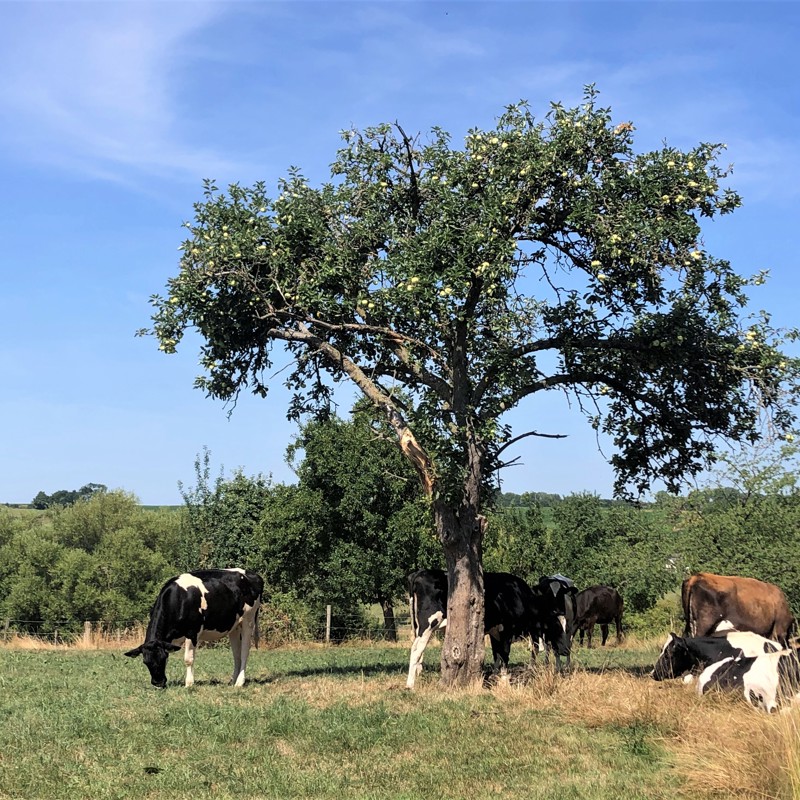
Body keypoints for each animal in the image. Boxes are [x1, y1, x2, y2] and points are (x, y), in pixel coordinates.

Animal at [125, 568, 263, 688]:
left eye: (162, 658)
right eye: (145, 662)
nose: (158, 683)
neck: (178, 599)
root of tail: (253, 575)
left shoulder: (192, 632)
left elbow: (188, 659)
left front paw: (189, 684)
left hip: (248, 620)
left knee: (245, 651)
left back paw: (240, 682)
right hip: (234, 626)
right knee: (236, 654)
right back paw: (233, 680)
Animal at [406, 568, 570, 689]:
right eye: (557, 627)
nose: (566, 649)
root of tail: (420, 573)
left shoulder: (494, 631)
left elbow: (496, 654)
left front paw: (495, 676)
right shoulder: (506, 629)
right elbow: (504, 654)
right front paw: (504, 680)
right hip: (428, 624)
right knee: (416, 649)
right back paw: (410, 684)